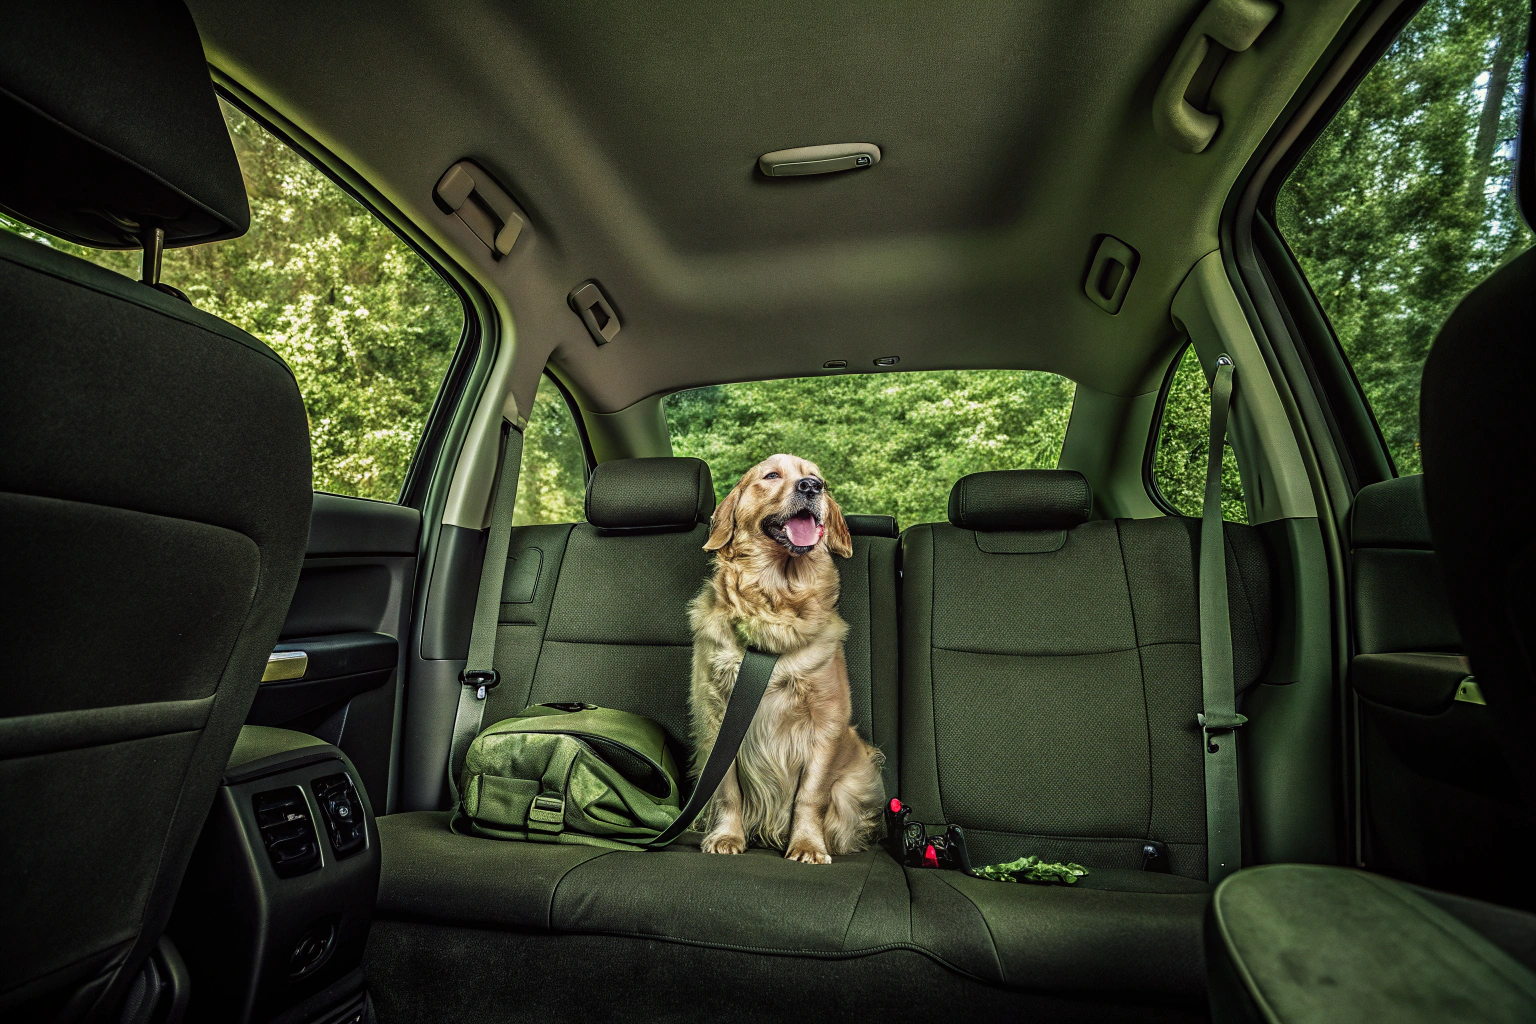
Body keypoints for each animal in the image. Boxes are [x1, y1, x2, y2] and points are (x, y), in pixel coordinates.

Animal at [688, 451, 884, 859]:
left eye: (817, 477)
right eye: (771, 475)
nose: (811, 487)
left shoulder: (826, 725)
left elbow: (810, 795)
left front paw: (807, 845)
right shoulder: (717, 718)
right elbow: (727, 790)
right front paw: (727, 837)